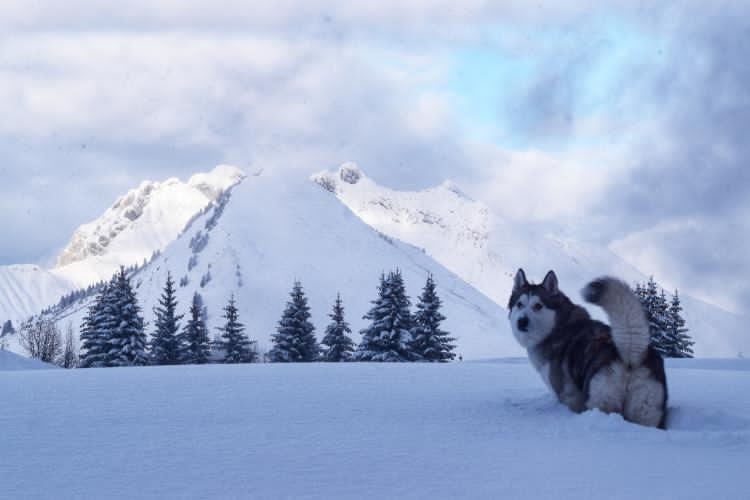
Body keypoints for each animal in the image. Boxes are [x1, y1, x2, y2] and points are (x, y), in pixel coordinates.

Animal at [512, 270, 668, 430]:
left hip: (601, 400)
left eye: (538, 306)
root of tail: (630, 354)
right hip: (644, 409)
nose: (521, 321)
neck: (557, 328)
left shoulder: (569, 397)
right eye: (519, 304)